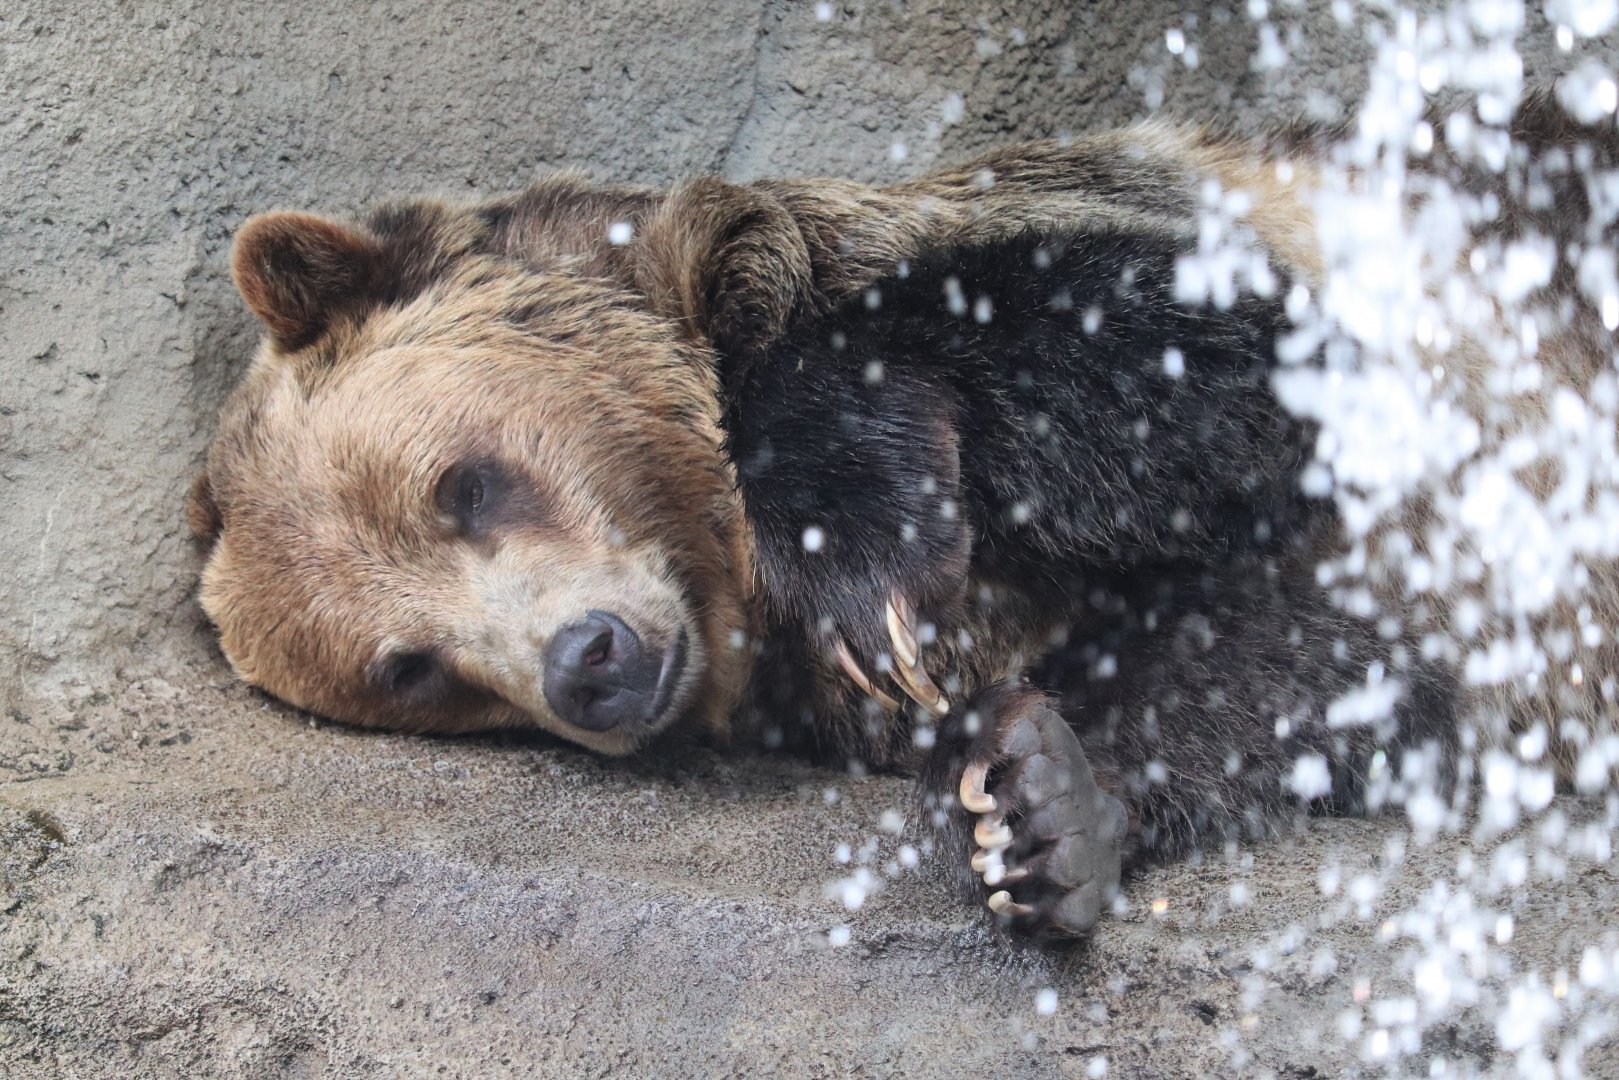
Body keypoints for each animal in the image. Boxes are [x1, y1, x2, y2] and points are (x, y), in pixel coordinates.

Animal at [190, 97, 1619, 939]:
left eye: (463, 483)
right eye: (413, 669)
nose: (587, 663)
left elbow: (1178, 356)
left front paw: (864, 565)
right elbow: (1276, 673)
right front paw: (1042, 804)